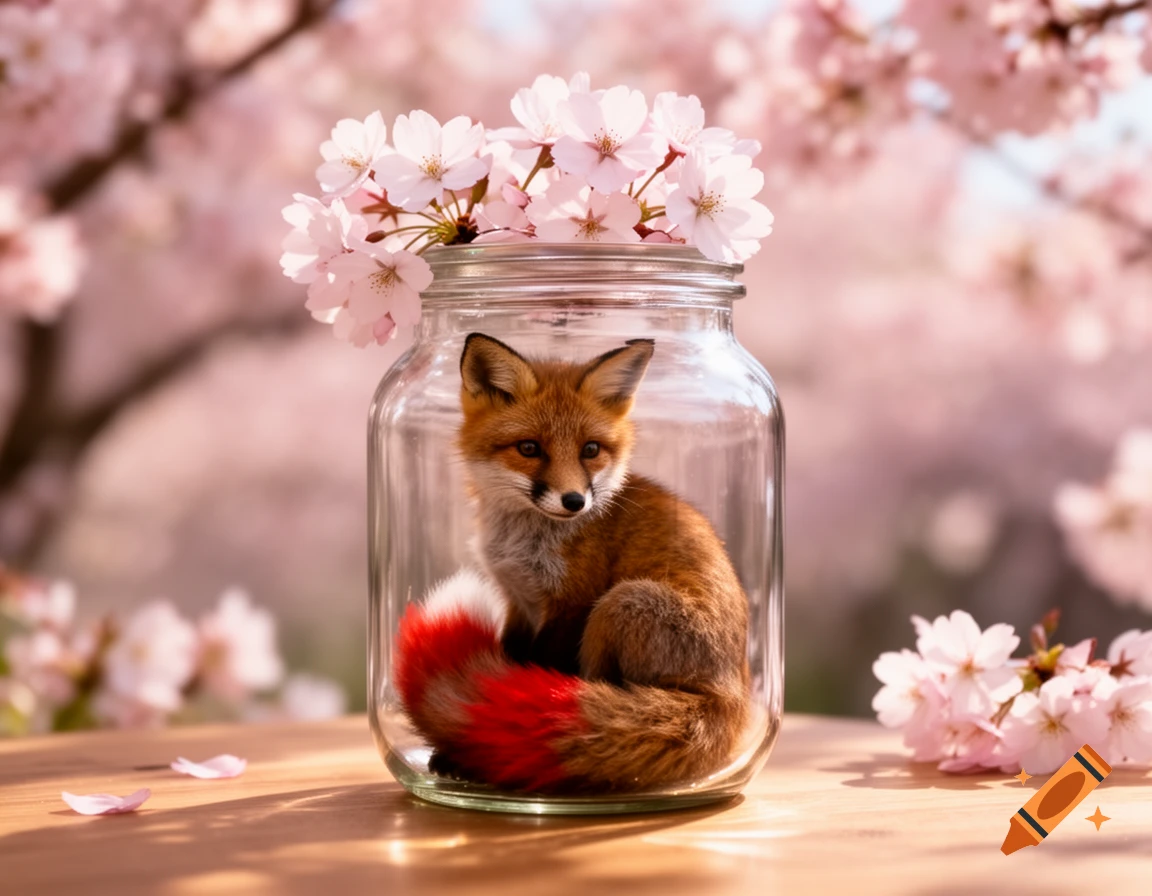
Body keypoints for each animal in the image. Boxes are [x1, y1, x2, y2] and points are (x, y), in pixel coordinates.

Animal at [393, 333, 750, 794]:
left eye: (590, 450)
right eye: (529, 448)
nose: (575, 501)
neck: (524, 542)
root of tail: (732, 697)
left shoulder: (573, 604)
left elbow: (543, 666)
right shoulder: (518, 601)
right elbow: (511, 660)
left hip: (620, 604)